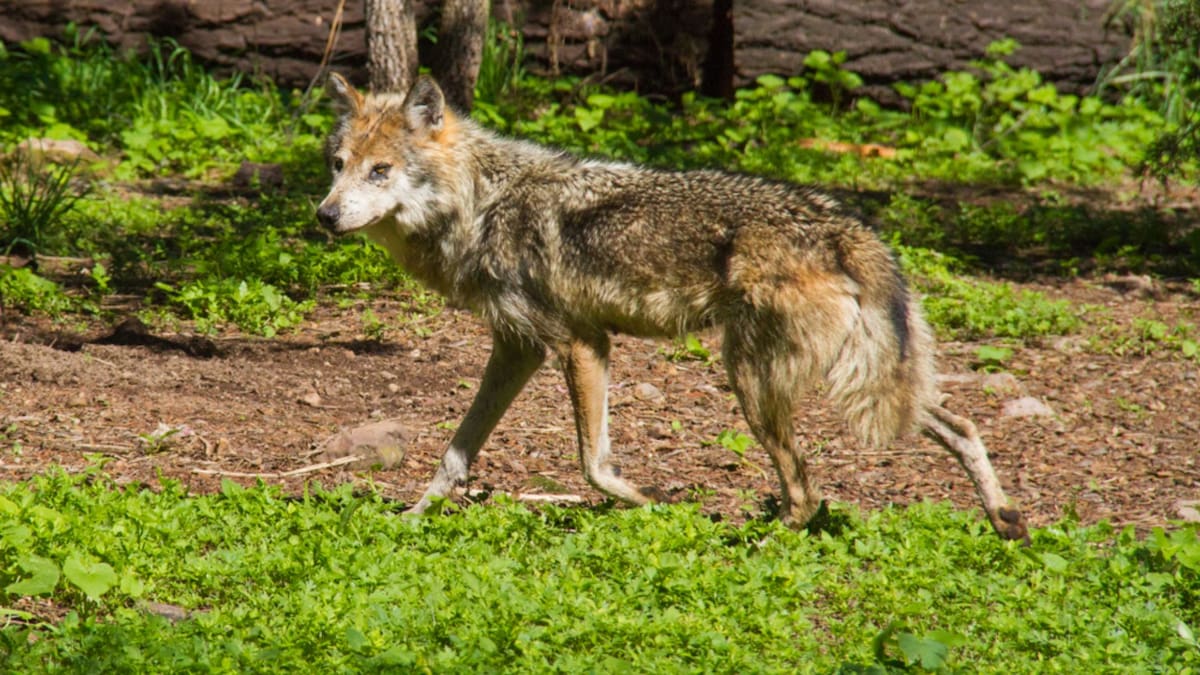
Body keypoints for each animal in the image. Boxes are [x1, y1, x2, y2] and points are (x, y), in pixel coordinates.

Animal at [316, 73, 1030, 542]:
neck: (480, 203)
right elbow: (455, 453)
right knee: (962, 427)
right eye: (338, 164)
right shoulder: (517, 347)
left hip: (753, 383)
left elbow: (596, 466)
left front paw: (660, 505)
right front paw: (413, 518)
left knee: (807, 492)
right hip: (858, 383)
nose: (323, 216)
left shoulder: (581, 344)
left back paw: (755, 546)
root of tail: (842, 224)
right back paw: (1006, 521)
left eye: (379, 172)